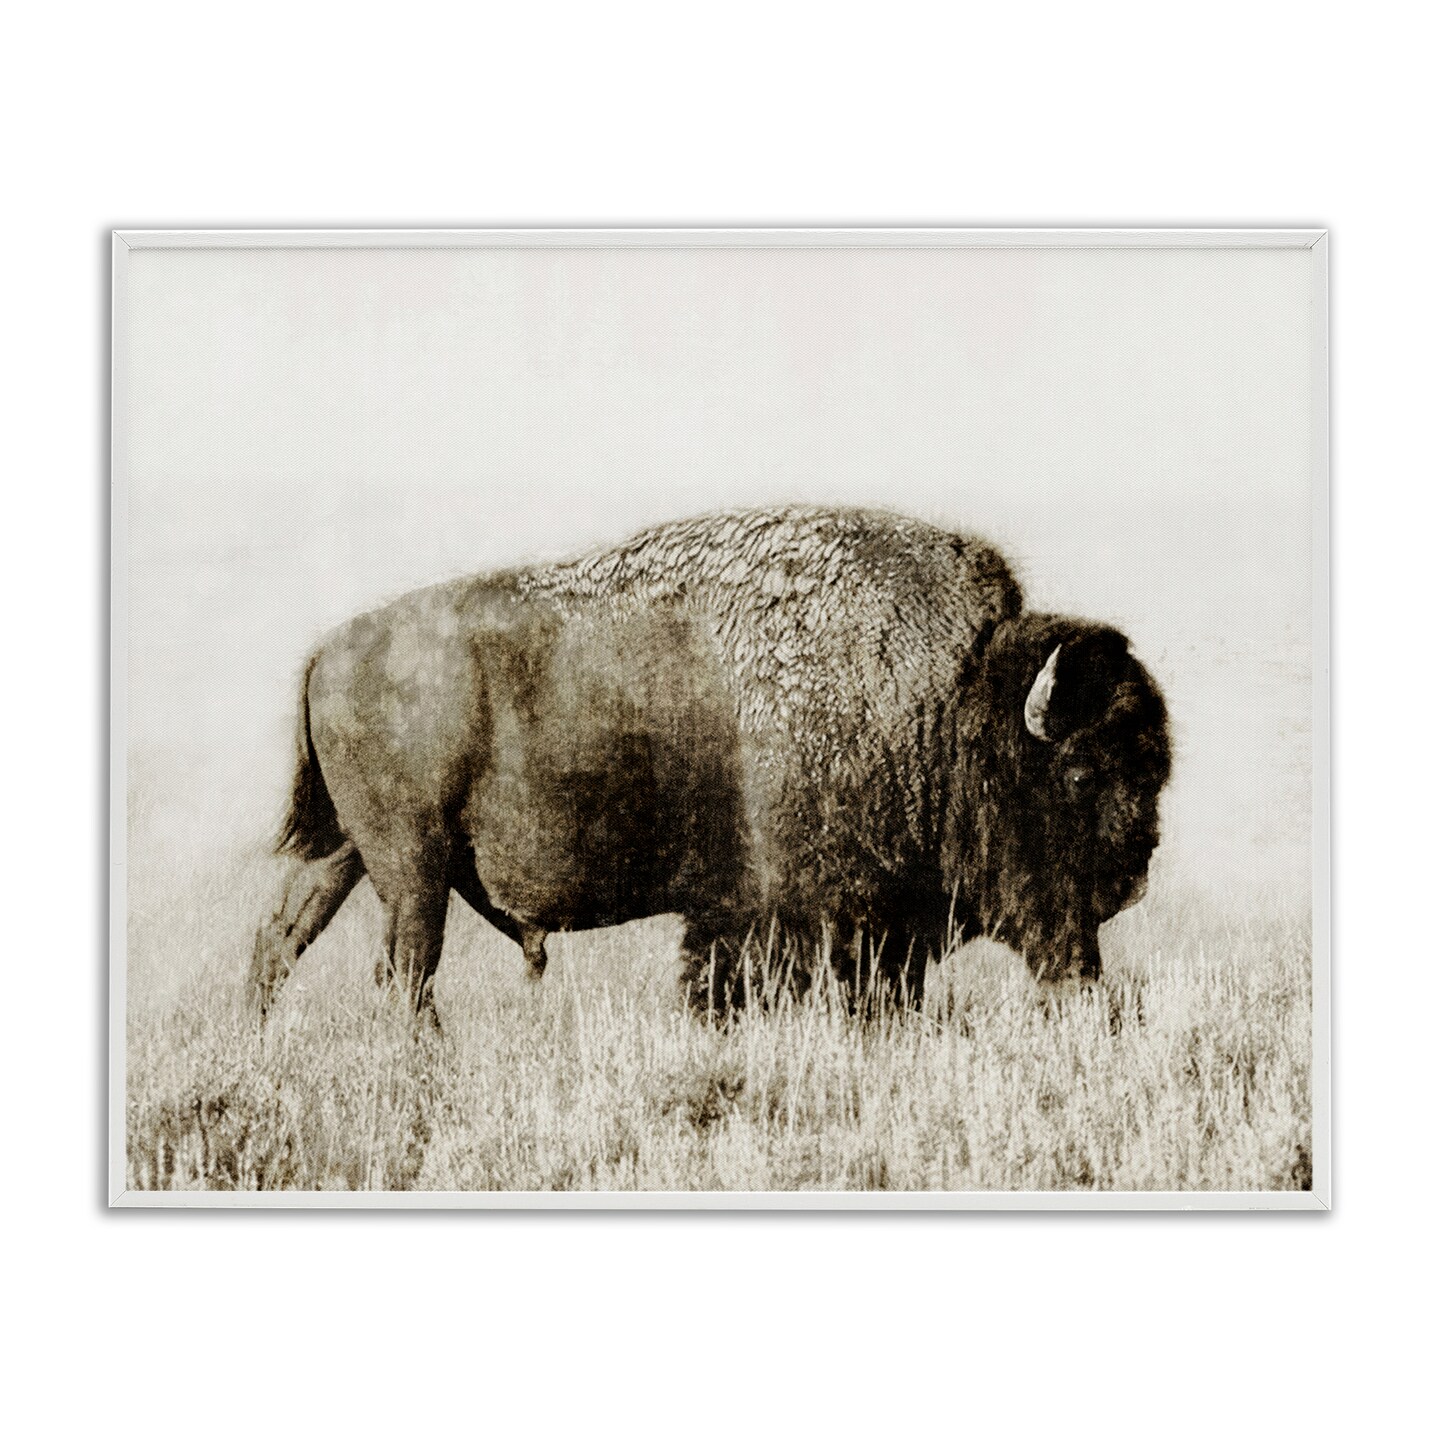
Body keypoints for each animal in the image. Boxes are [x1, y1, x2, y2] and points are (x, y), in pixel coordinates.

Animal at [251, 505, 1170, 1024]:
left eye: (1152, 771)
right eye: (1080, 775)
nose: (1131, 879)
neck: (948, 698)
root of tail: (328, 650)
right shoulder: (803, 920)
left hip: (349, 855)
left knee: (280, 943)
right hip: (413, 864)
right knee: (404, 971)